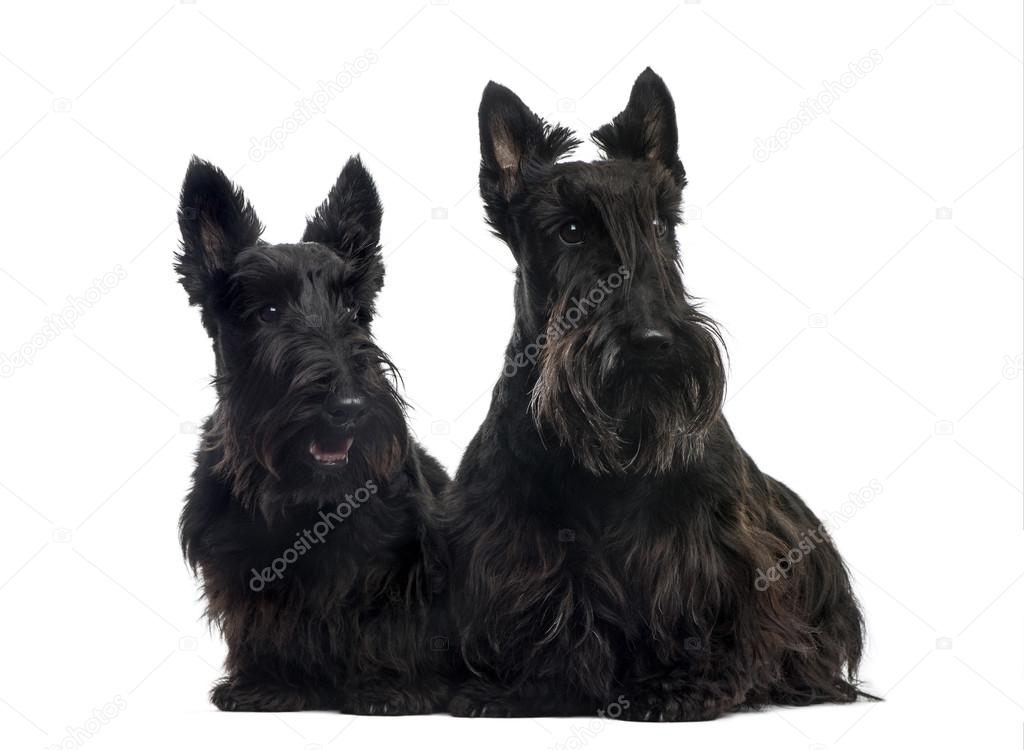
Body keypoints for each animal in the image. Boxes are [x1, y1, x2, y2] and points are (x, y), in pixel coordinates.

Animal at [178, 155, 450, 713]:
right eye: (268, 313)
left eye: (351, 310)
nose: (349, 408)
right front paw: (266, 682)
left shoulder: (401, 561)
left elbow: (393, 622)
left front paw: (391, 685)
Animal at [444, 70, 868, 721]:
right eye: (570, 231)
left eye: (658, 226)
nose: (652, 341)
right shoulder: (512, 542)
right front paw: (522, 687)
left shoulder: (713, 544)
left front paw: (681, 684)